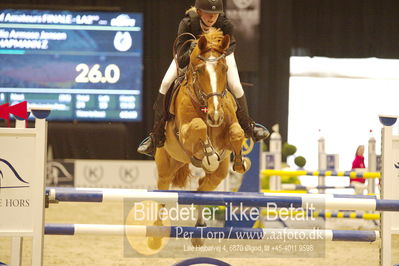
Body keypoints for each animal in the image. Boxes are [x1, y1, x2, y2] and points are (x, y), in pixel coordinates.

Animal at [150, 28, 250, 248]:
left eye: (224, 69)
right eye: (199, 70)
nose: (215, 116)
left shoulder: (228, 131)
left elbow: (237, 133)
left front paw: (239, 162)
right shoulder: (185, 134)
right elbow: (199, 126)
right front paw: (208, 154)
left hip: (219, 174)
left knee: (203, 188)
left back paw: (199, 230)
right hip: (166, 164)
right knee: (163, 191)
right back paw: (155, 234)